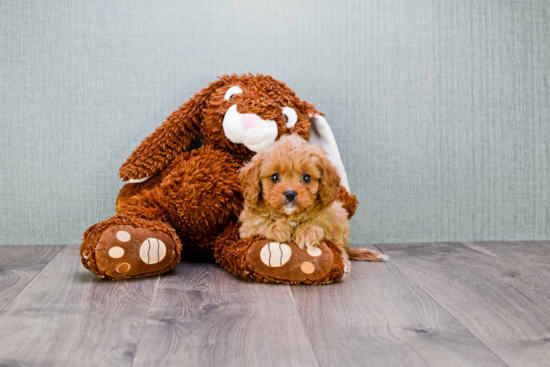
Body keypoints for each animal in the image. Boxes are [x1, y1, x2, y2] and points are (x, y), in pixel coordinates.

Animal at [238, 134, 388, 268]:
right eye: (274, 177)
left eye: (306, 178)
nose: (290, 194)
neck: (290, 215)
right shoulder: (246, 229)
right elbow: (261, 223)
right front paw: (278, 228)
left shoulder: (329, 218)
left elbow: (318, 222)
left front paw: (306, 231)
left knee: (340, 247)